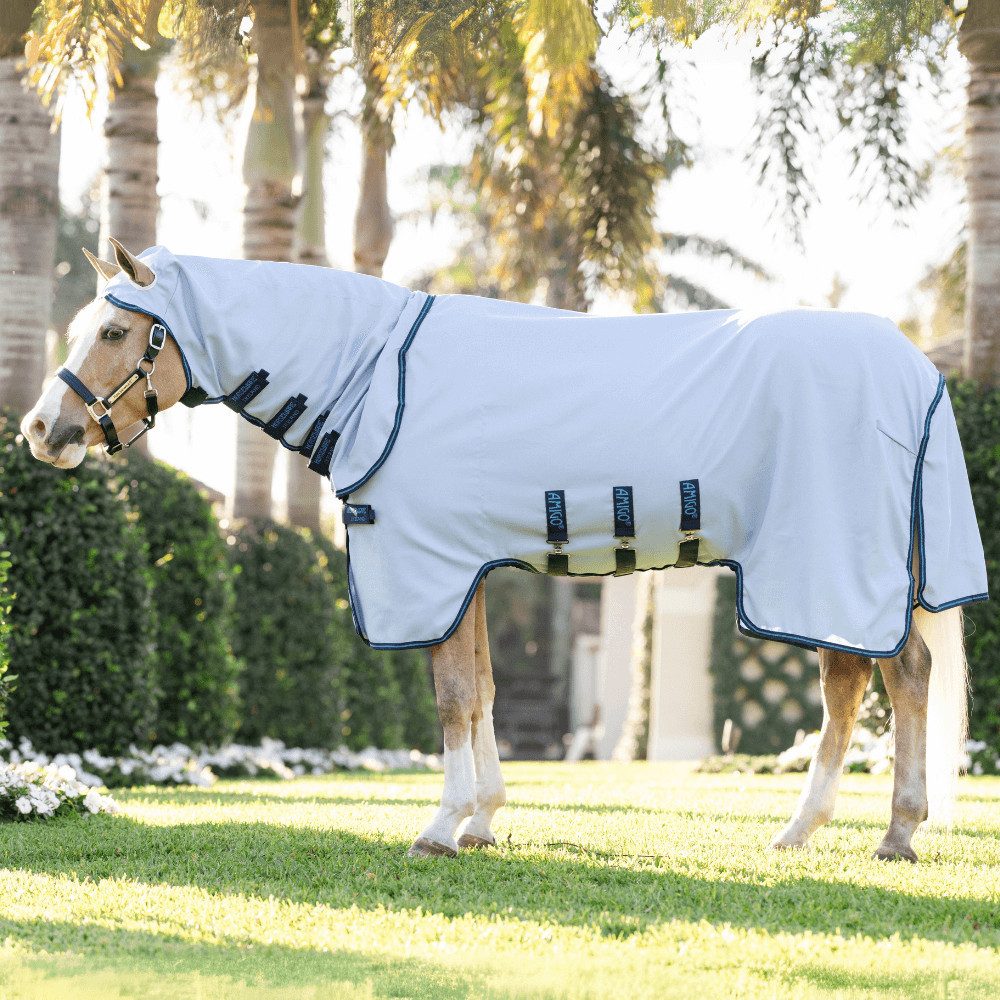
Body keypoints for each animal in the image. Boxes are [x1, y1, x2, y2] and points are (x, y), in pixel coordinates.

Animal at [20, 238, 981, 863]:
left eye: (114, 333)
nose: (41, 430)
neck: (378, 374)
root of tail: (915, 369)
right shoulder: (468, 571)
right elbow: (480, 691)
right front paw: (482, 821)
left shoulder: (432, 568)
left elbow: (451, 699)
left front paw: (439, 830)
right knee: (866, 683)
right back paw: (811, 831)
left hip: (826, 561)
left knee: (886, 680)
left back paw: (892, 832)